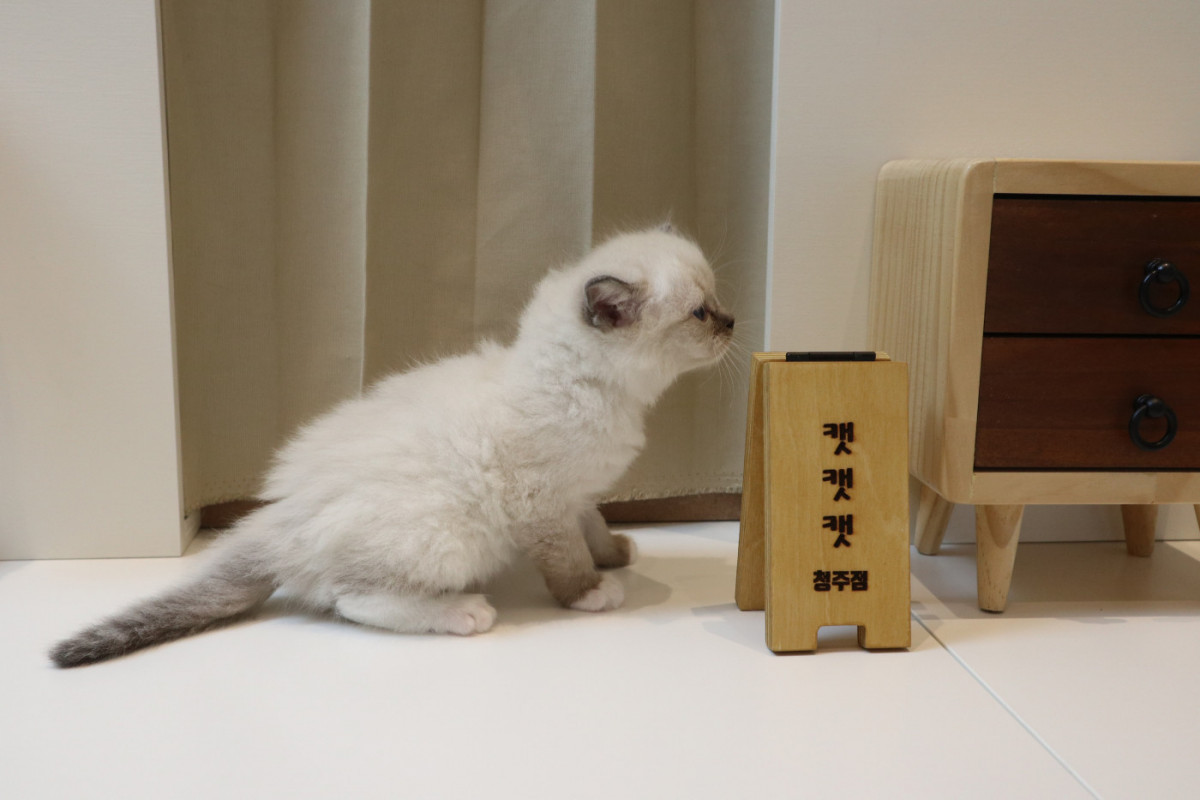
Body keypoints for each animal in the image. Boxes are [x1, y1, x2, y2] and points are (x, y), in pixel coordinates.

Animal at [50, 226, 734, 667]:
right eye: (700, 314)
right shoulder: (540, 502)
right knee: (353, 599)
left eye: (716, 303)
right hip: (449, 534)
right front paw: (592, 593)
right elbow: (565, 560)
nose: (733, 323)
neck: (594, 391)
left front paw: (616, 554)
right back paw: (464, 613)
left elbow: (592, 528)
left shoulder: (578, 492)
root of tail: (275, 521)